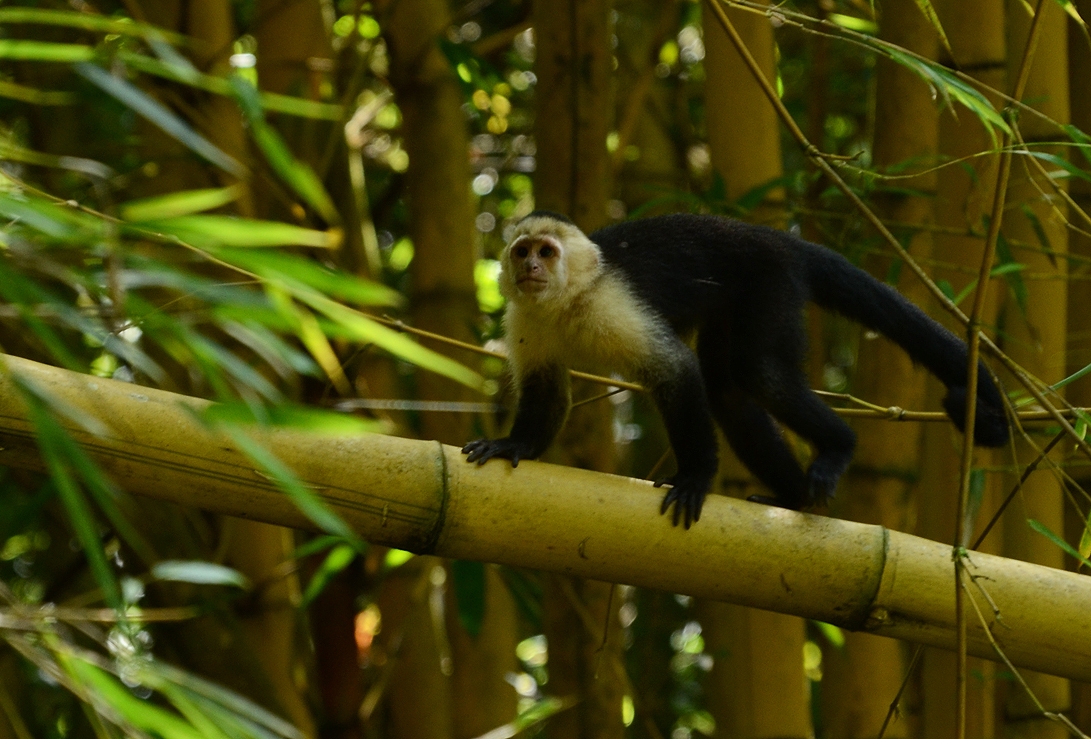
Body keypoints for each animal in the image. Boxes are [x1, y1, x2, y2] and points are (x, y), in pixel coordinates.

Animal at [458, 210, 1003, 528]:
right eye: (522, 251)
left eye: (547, 252)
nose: (530, 268)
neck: (567, 302)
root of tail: (779, 240)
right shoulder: (526, 318)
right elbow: (546, 389)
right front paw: (515, 444)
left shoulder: (611, 304)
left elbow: (675, 369)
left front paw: (695, 476)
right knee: (728, 389)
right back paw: (793, 497)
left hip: (769, 284)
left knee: (755, 371)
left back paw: (837, 446)